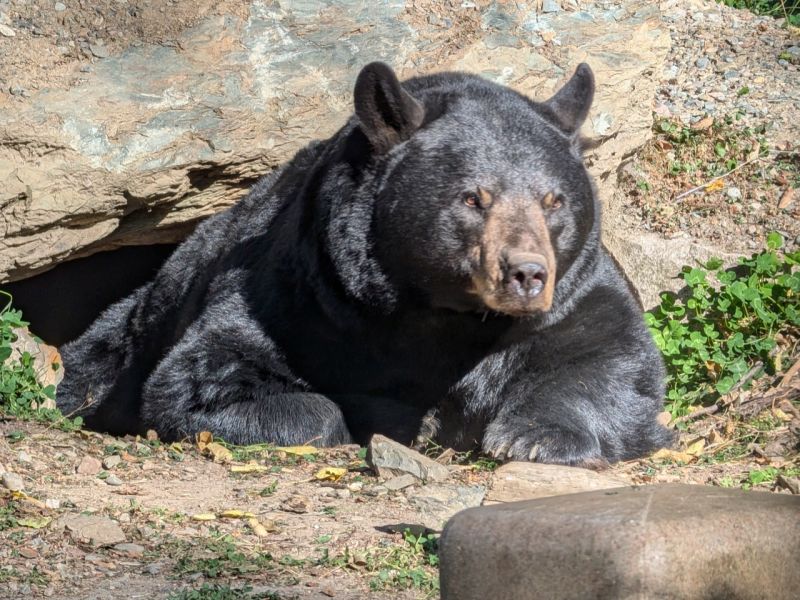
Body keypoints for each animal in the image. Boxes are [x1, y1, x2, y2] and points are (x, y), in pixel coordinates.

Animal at [57, 62, 674, 467]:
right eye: (473, 198)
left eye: (554, 201)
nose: (525, 274)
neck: (440, 309)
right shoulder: (307, 294)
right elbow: (207, 372)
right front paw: (388, 417)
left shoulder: (575, 286)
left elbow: (611, 356)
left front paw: (533, 436)